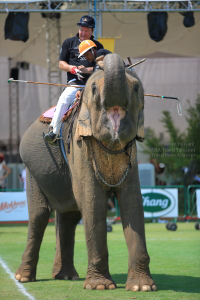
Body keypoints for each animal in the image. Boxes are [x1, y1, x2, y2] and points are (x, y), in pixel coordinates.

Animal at [15, 52, 156, 292]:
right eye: (94, 89)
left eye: (137, 88)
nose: (101, 58)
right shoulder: (79, 146)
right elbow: (93, 201)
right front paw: (100, 287)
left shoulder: (131, 154)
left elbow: (133, 201)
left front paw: (142, 288)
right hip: (32, 170)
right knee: (40, 215)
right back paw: (24, 278)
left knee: (69, 216)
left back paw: (66, 276)